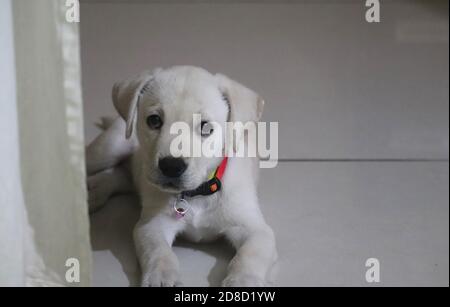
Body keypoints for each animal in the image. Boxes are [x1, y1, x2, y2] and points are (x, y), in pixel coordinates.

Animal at [86, 66, 278, 288]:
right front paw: (161, 277)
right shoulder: (152, 224)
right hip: (110, 148)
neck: (197, 193)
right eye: (154, 120)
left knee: (121, 175)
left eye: (206, 127)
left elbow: (249, 254)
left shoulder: (254, 228)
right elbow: (158, 252)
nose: (171, 166)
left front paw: (243, 281)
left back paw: (96, 191)